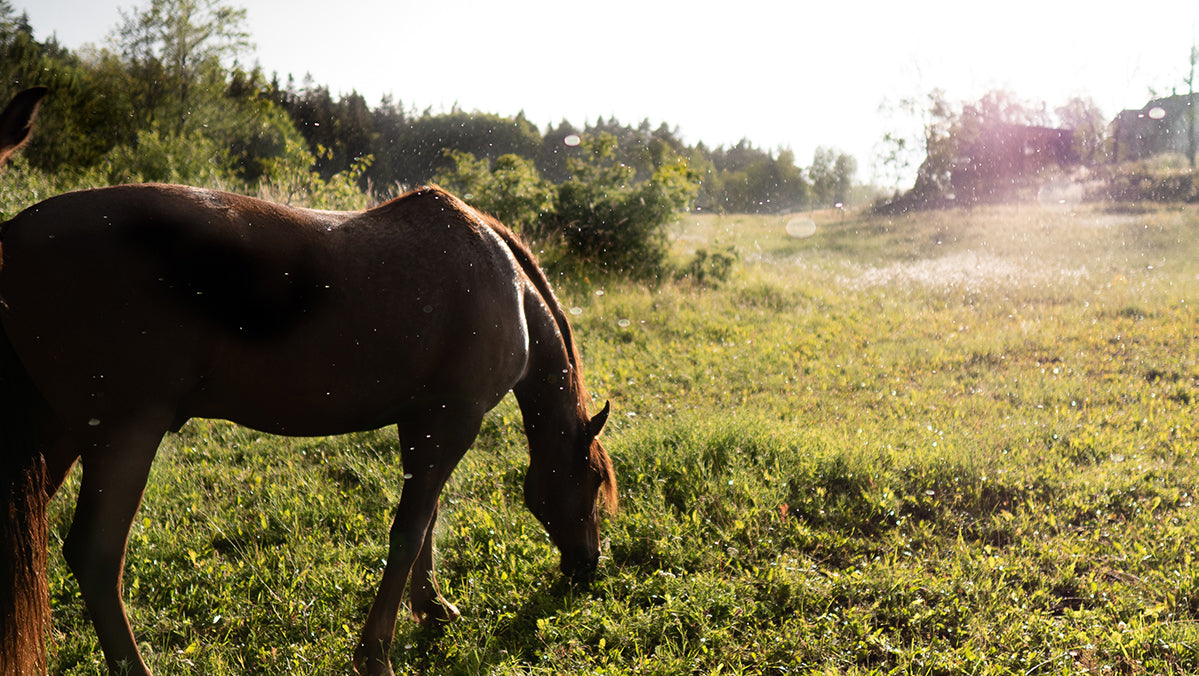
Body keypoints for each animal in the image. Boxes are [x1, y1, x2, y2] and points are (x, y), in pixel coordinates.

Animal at [0, 88, 617, 676]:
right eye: (591, 481)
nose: (588, 565)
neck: (502, 279)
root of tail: (11, 235)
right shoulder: (451, 421)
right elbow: (409, 530)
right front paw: (376, 655)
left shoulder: (423, 424)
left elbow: (427, 520)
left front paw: (433, 608)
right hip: (122, 435)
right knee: (96, 556)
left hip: (59, 437)